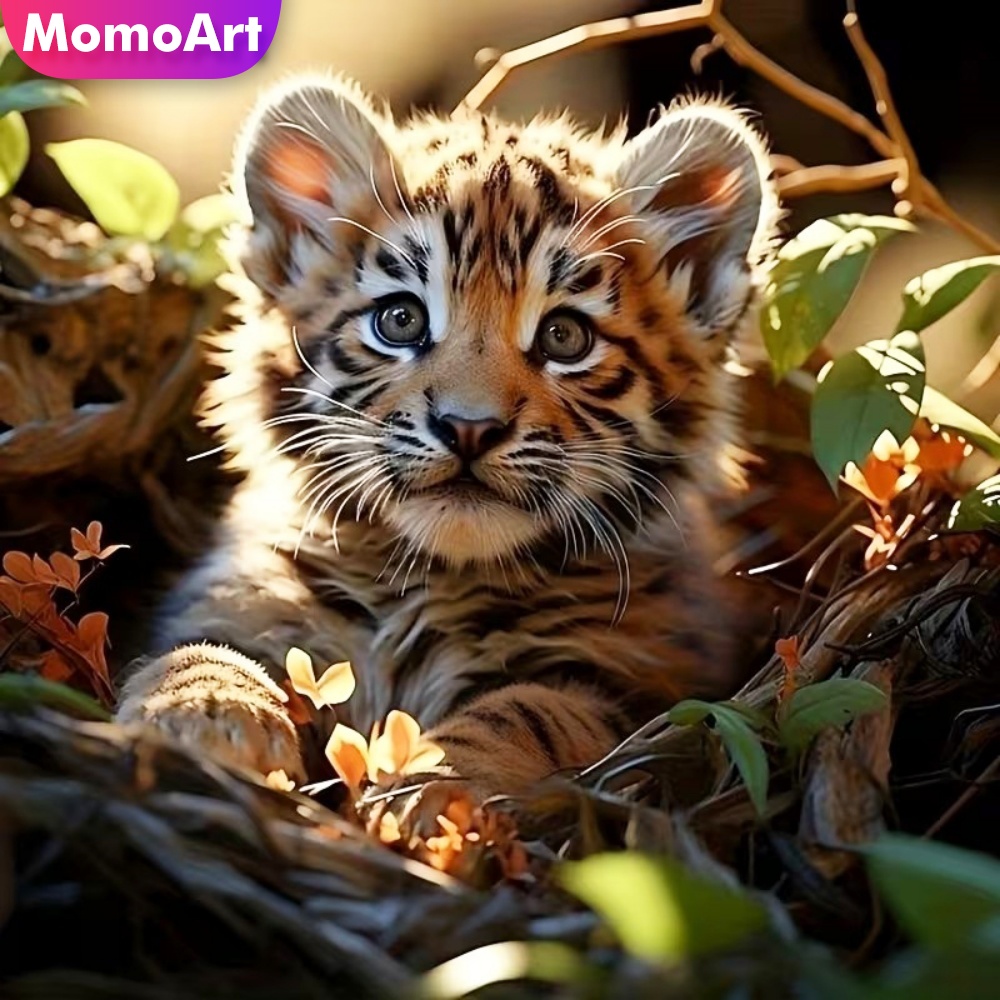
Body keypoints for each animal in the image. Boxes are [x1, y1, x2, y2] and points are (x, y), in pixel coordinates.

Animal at [116, 73, 779, 831]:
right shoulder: (244, 596)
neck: (426, 579)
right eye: (400, 320)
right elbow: (206, 647)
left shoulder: (652, 687)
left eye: (565, 337)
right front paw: (200, 709)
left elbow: (530, 711)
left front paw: (432, 792)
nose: (468, 427)